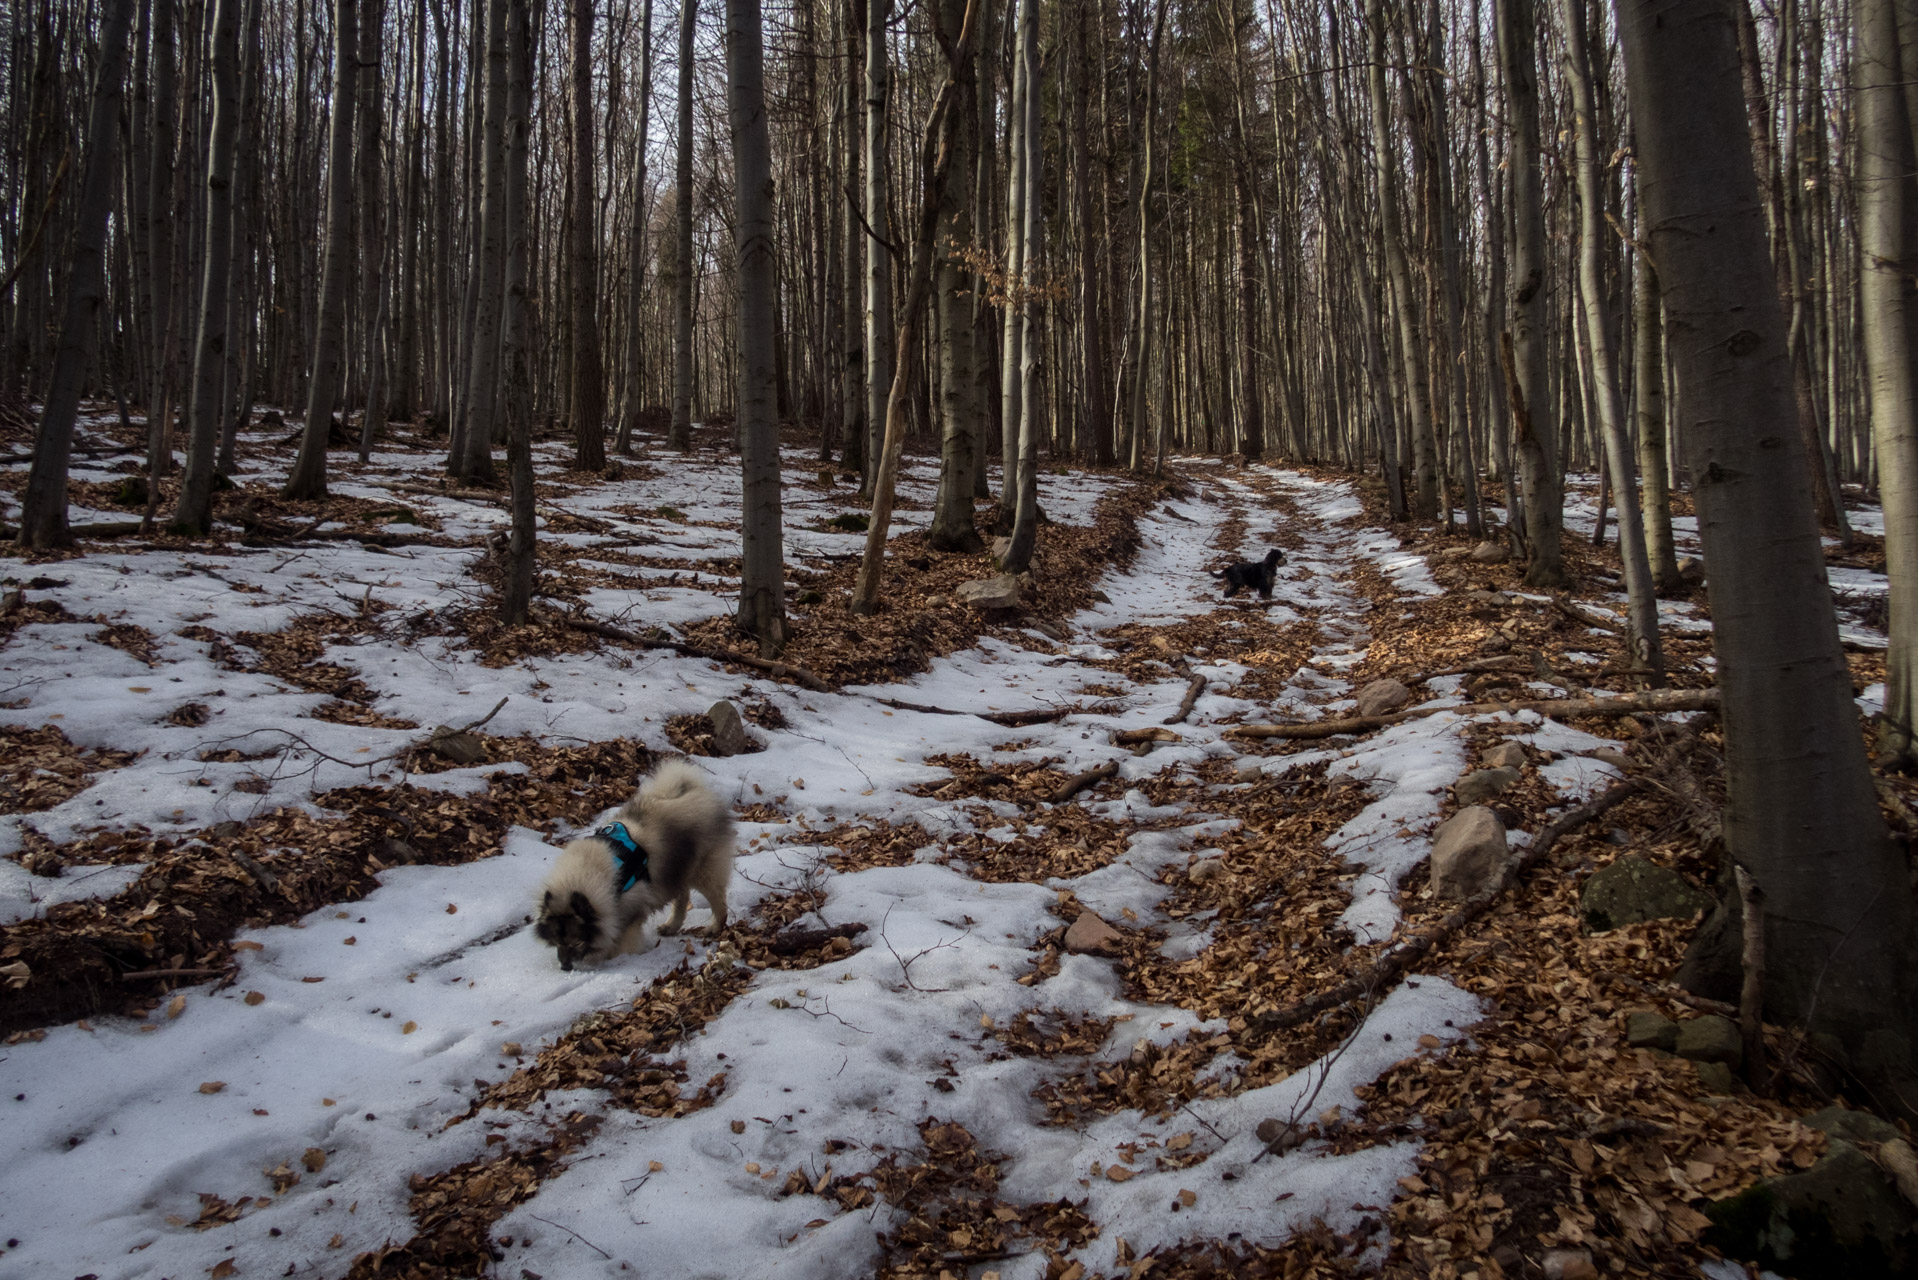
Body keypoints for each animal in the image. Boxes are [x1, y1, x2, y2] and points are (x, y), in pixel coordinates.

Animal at [537, 759, 736, 971]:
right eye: (557, 942)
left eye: (576, 943)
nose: (565, 967)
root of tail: (697, 792)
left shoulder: (629, 909)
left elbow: (621, 940)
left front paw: (618, 957)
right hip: (674, 870)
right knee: (682, 898)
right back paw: (671, 926)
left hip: (701, 872)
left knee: (718, 901)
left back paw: (715, 927)